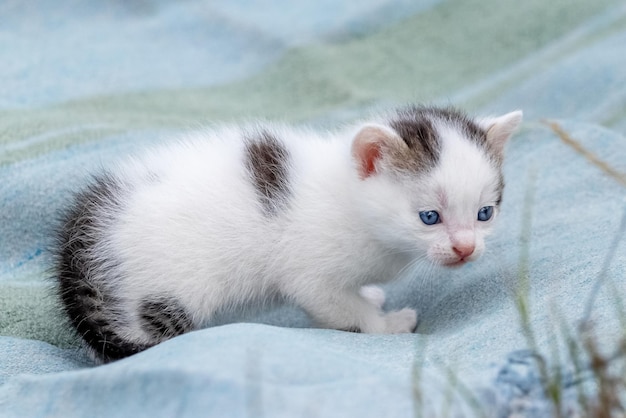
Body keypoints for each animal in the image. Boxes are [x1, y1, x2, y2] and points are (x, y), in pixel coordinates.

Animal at [53, 106, 520, 364]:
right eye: (429, 217)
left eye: (485, 213)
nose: (465, 248)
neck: (347, 201)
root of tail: (80, 242)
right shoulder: (310, 275)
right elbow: (339, 308)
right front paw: (389, 324)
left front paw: (370, 296)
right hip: (157, 295)